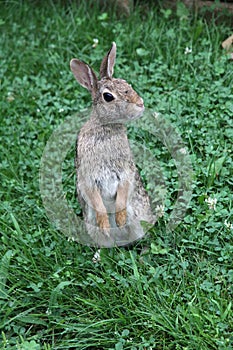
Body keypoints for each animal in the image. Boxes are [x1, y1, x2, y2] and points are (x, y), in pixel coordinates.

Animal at [70, 42, 154, 247]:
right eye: (108, 97)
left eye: (126, 83)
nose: (140, 104)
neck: (105, 127)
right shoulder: (87, 176)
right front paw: (106, 224)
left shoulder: (125, 170)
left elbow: (124, 190)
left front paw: (120, 219)